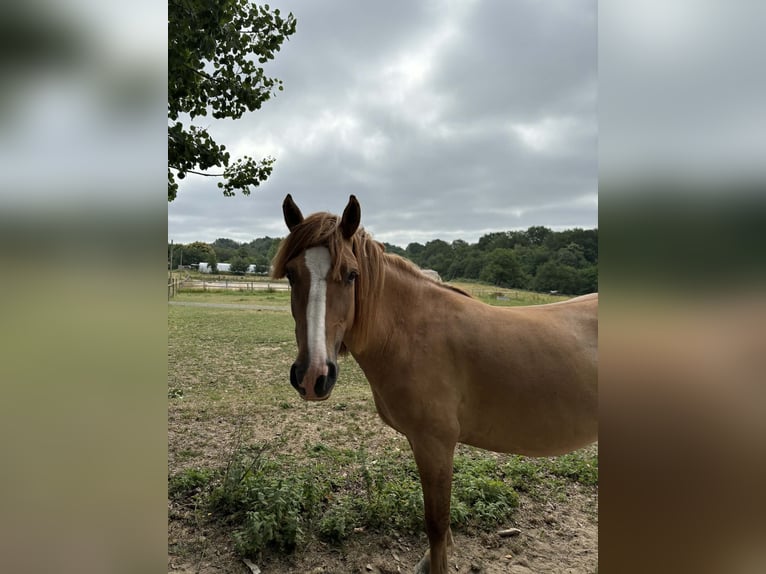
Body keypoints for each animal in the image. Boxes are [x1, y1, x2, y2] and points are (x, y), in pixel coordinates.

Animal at [272, 194, 598, 574]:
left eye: (352, 275)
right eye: (292, 275)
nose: (313, 376)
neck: (411, 333)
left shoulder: (435, 443)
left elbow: (436, 521)